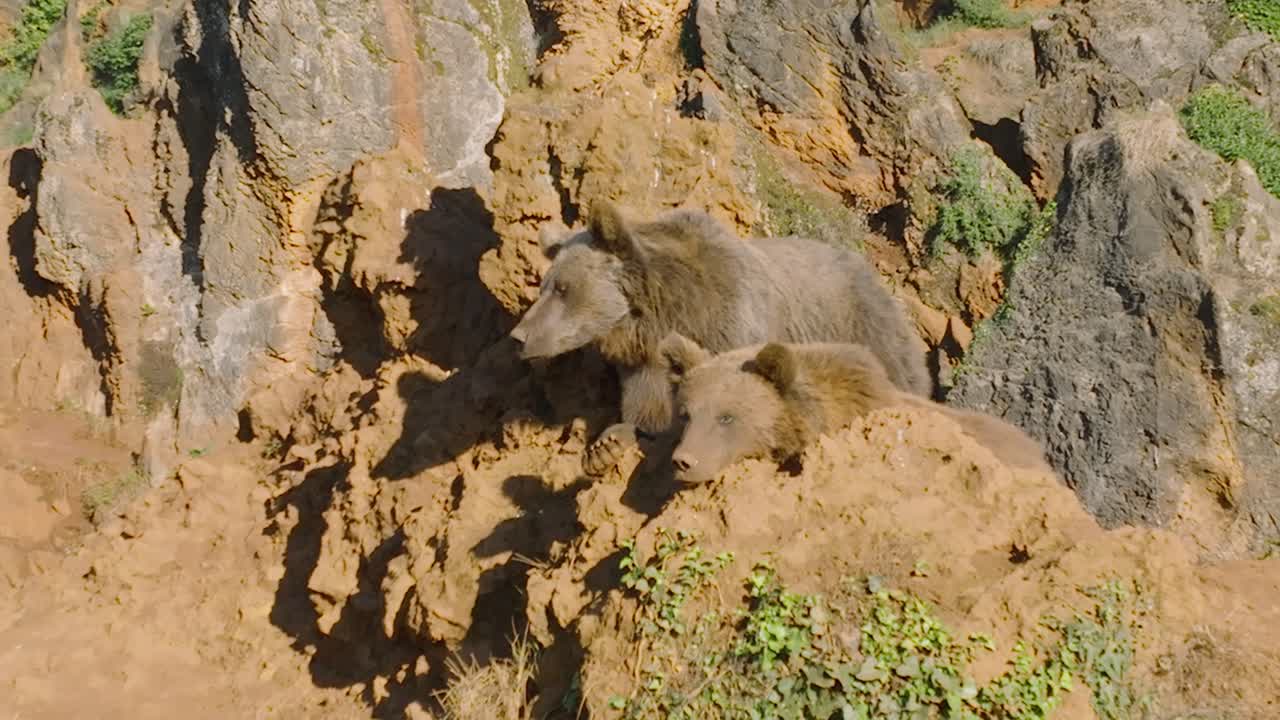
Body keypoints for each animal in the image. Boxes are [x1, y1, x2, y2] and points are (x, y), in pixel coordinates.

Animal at [509, 199, 931, 476]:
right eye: (545, 285)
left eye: (562, 288)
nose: (519, 335)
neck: (669, 312)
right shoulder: (644, 361)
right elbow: (648, 408)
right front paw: (604, 445)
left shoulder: (732, 325)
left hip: (866, 327)